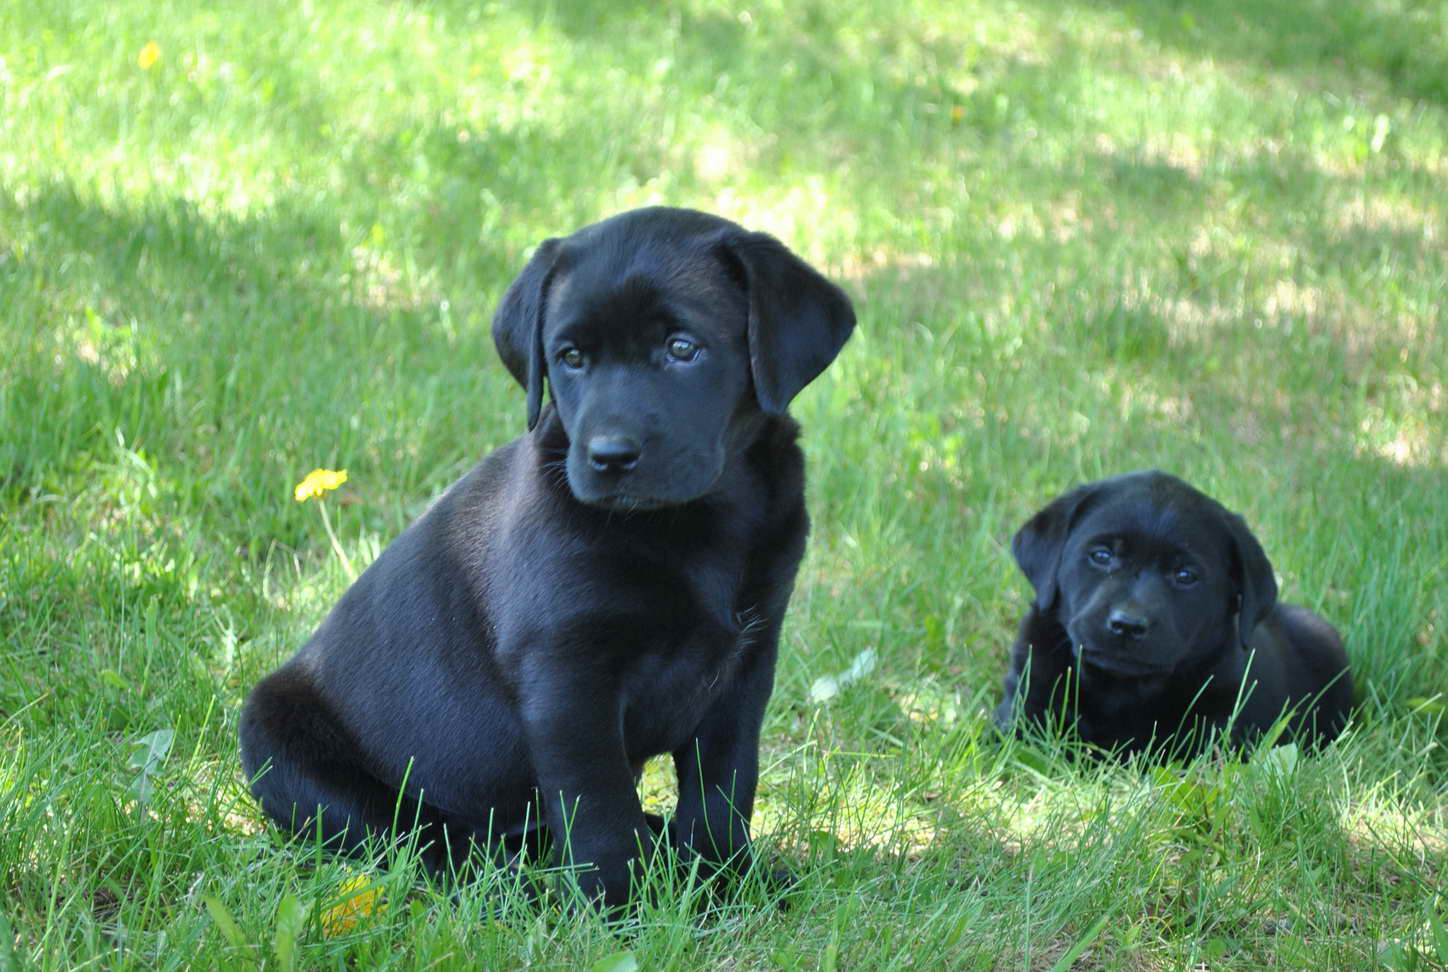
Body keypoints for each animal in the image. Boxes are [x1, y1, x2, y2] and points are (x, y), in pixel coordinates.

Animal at [237, 207, 851, 915]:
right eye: (571, 358)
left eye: (683, 348)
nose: (609, 456)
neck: (702, 518)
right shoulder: (567, 674)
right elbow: (598, 806)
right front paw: (623, 904)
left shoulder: (746, 661)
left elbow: (723, 786)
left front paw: (725, 878)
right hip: (284, 744)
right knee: (422, 841)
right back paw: (516, 883)